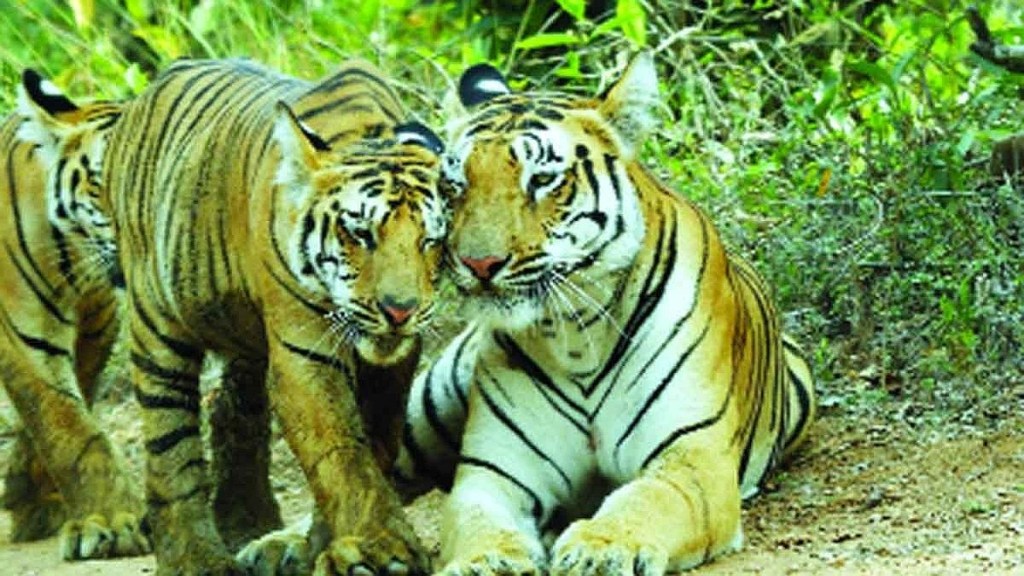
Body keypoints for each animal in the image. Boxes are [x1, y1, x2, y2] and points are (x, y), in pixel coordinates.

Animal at [0, 70, 151, 560]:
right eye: (105, 184)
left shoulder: (100, 319)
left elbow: (77, 398)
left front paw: (32, 493)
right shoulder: (22, 332)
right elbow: (65, 424)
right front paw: (110, 521)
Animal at [97, 58, 447, 575]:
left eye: (431, 241)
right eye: (361, 234)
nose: (399, 310)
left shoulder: (397, 361)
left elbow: (375, 443)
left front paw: (327, 545)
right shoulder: (305, 349)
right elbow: (340, 448)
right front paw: (382, 547)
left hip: (243, 341)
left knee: (235, 411)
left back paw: (248, 525)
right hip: (157, 327)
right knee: (170, 446)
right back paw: (195, 557)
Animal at [396, 51, 816, 575]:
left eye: (541, 180)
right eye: (454, 185)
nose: (479, 263)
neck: (575, 334)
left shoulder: (693, 456)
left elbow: (646, 499)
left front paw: (603, 546)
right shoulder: (495, 474)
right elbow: (476, 520)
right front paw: (485, 561)